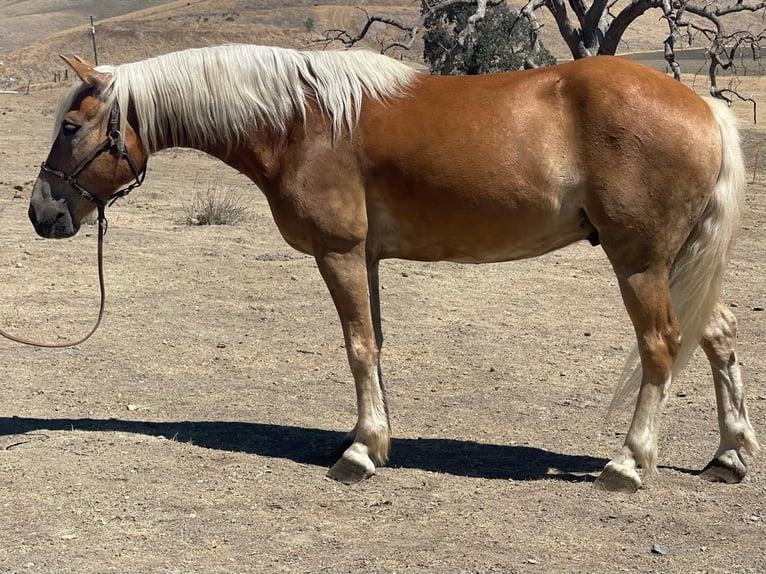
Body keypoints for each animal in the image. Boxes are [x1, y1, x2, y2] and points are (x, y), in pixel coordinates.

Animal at [27, 46, 760, 496]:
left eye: (71, 126)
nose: (41, 212)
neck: (302, 122)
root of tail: (704, 107)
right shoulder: (368, 260)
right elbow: (374, 345)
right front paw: (376, 439)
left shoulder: (341, 253)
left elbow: (357, 347)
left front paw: (359, 454)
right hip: (678, 261)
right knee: (718, 334)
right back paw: (729, 455)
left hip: (640, 262)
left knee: (663, 344)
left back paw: (630, 464)